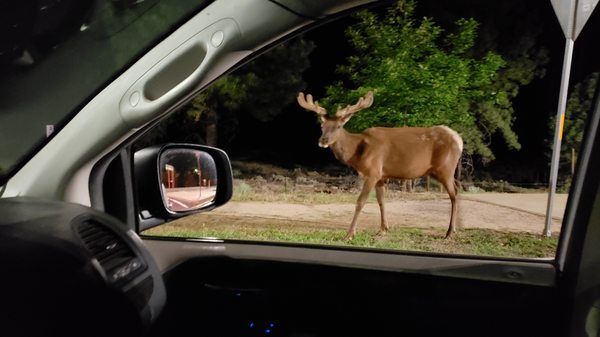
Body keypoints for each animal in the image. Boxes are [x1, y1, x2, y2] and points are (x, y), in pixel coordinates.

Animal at [296, 90, 464, 240]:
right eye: (322, 127)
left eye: (338, 127)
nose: (323, 140)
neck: (357, 152)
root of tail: (459, 139)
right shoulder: (381, 176)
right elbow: (381, 200)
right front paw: (383, 229)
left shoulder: (372, 172)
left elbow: (360, 201)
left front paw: (349, 234)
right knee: (457, 188)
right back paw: (454, 230)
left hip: (445, 168)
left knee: (454, 193)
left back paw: (450, 232)